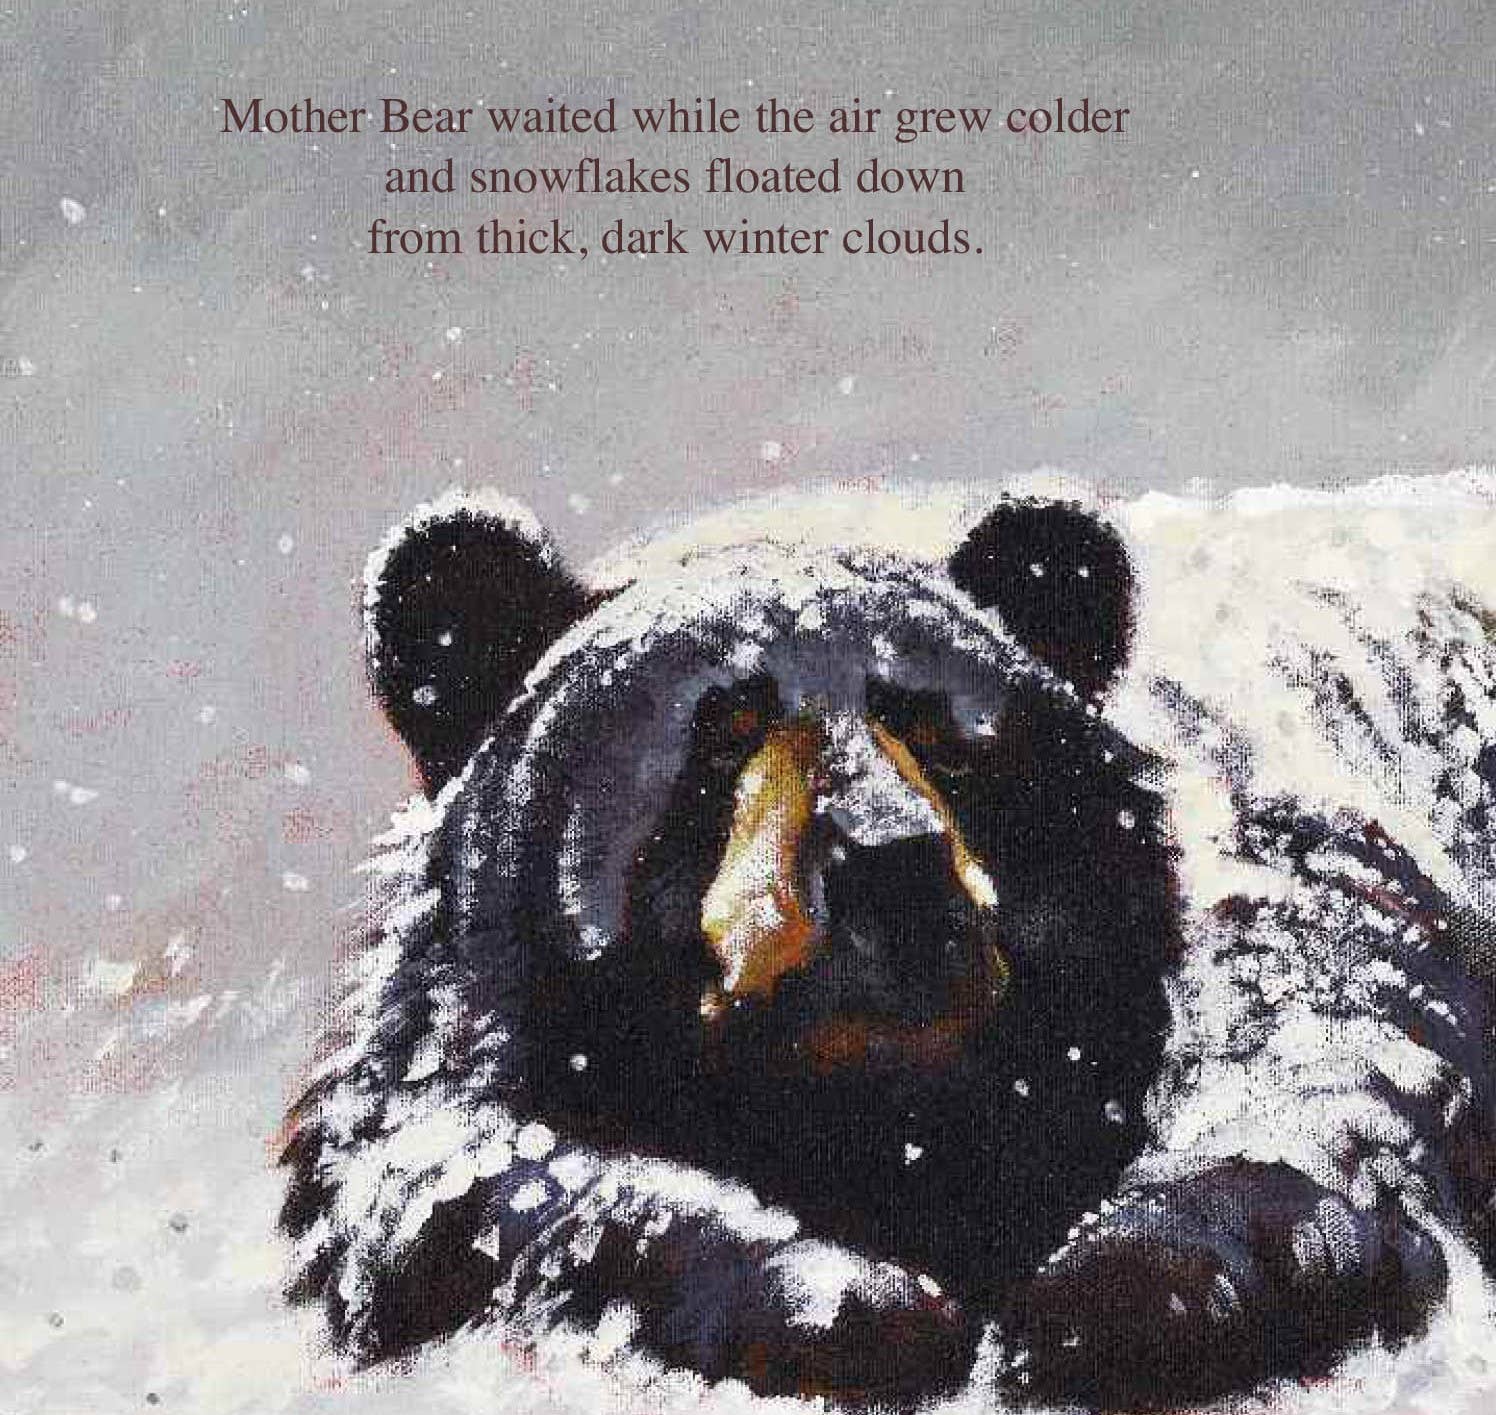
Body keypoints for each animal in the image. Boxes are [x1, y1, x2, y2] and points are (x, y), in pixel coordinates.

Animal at [280, 483, 1496, 1411]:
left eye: (944, 736)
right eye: (719, 736)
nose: (892, 860)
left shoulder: (1281, 892)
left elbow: (1319, 1084)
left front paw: (1122, 1290)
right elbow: (462, 1180)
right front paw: (840, 1301)